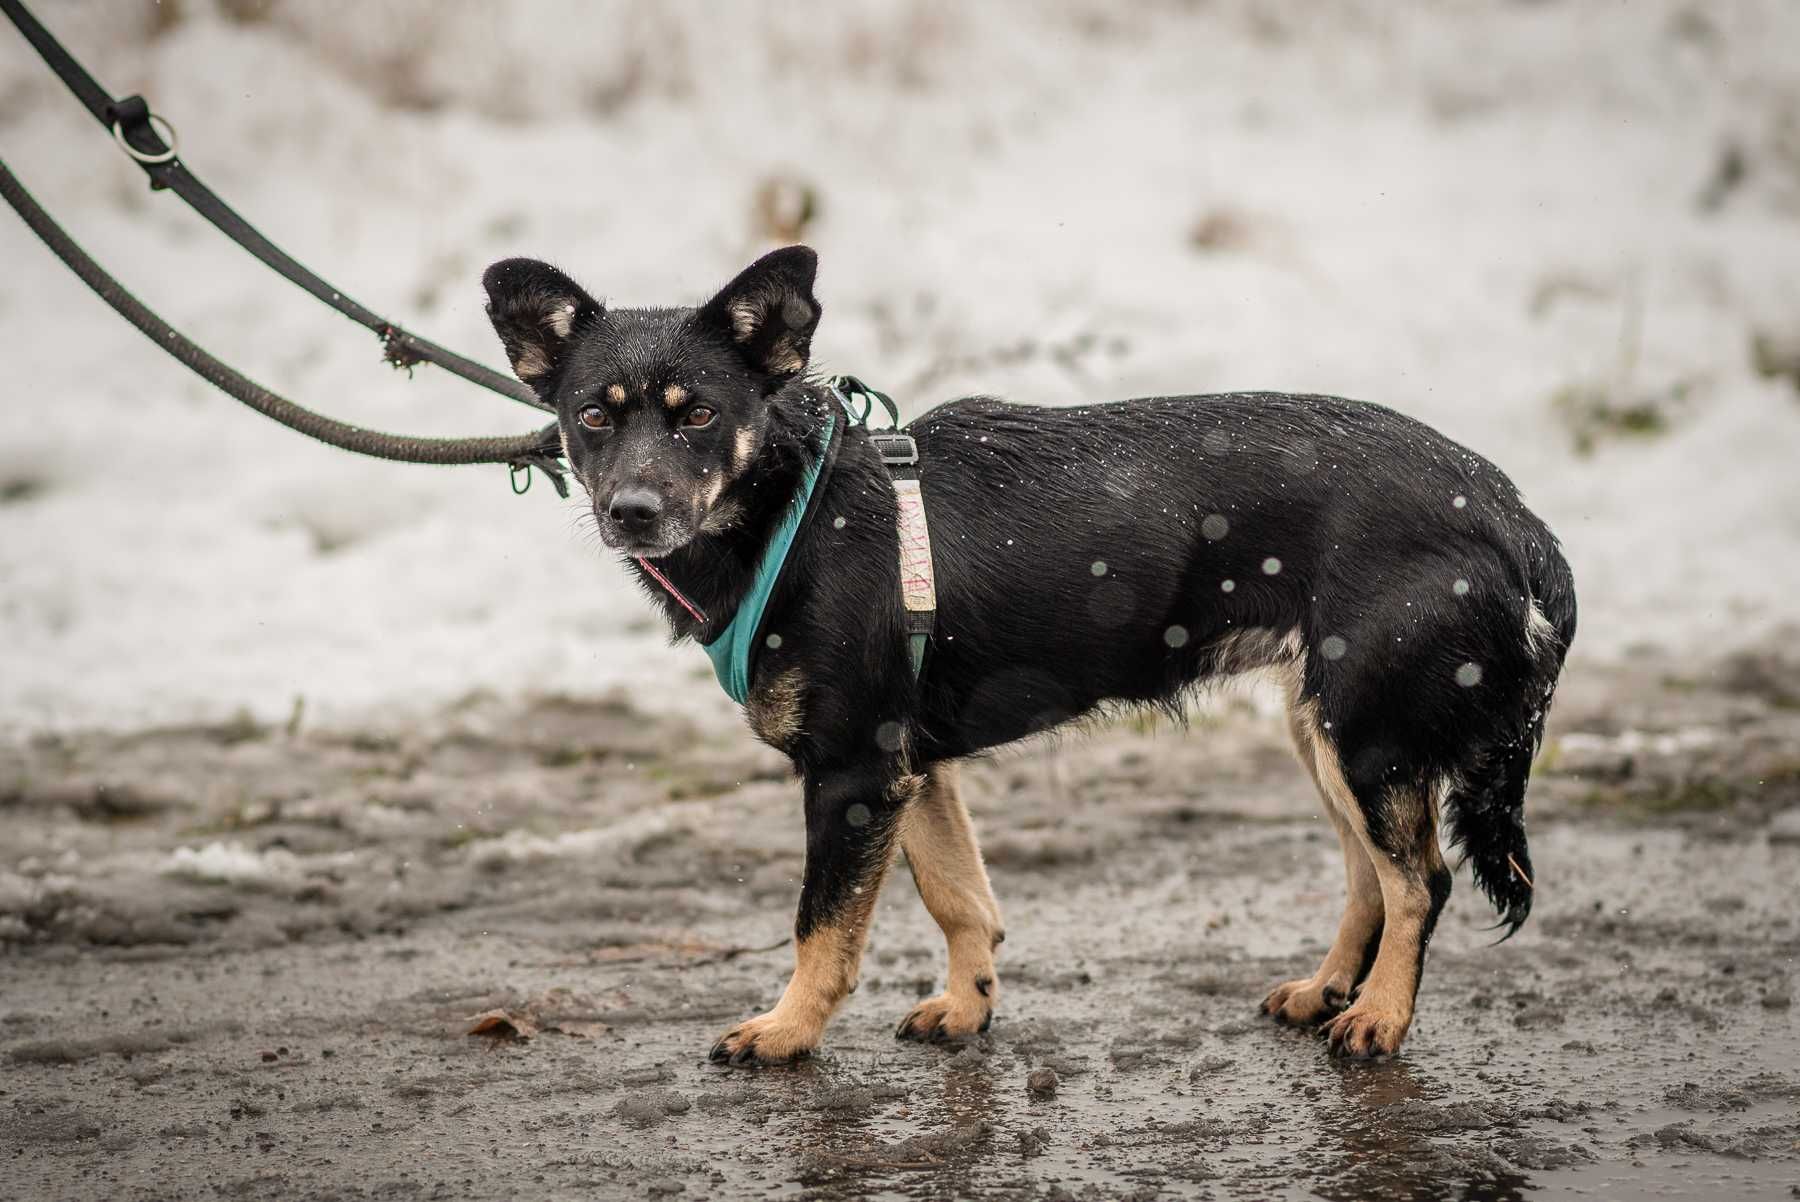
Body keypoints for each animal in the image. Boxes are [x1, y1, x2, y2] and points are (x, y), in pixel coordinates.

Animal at [478, 246, 1576, 1058]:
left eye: (700, 413)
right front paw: (969, 1003)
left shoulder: (854, 772)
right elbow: (959, 896)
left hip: (1368, 732)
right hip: (1330, 727)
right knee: (1369, 875)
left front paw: (788, 1029)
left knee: (1420, 881)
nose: (632, 511)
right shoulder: (913, 768)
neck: (800, 506)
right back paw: (1327, 988)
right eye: (593, 415)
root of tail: (1508, 509)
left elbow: (822, 923)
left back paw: (1380, 1016)